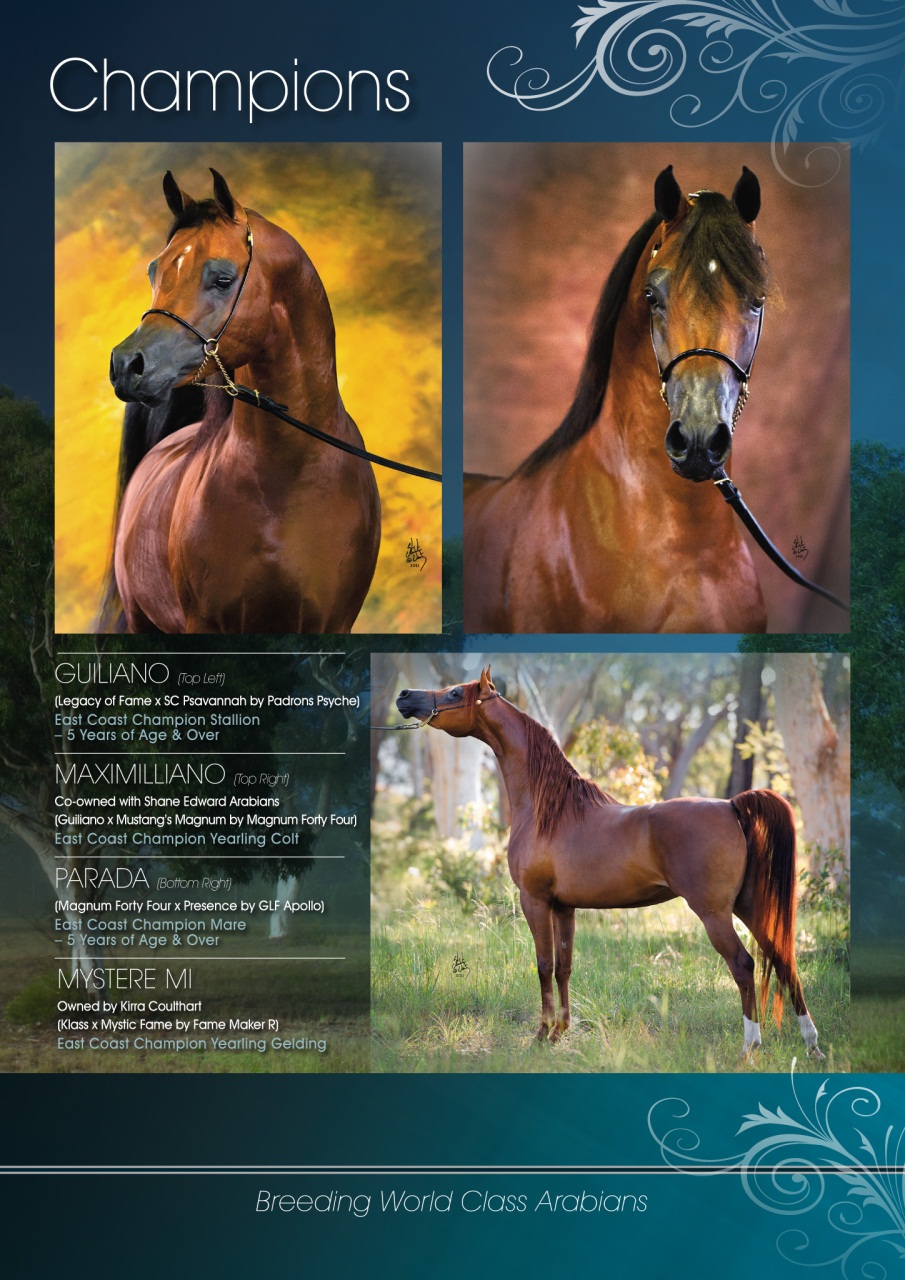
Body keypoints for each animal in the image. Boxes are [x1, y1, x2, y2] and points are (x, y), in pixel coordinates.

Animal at [396, 668, 824, 1060]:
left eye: (455, 692)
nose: (404, 696)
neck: (548, 809)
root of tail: (732, 805)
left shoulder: (534, 901)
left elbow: (543, 965)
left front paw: (541, 1035)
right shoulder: (563, 907)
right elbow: (564, 967)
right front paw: (560, 1033)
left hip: (715, 913)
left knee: (743, 965)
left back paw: (750, 1045)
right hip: (749, 906)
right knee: (783, 959)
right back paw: (812, 1044)